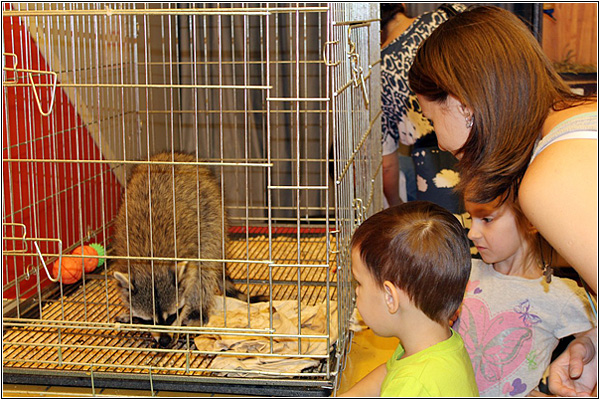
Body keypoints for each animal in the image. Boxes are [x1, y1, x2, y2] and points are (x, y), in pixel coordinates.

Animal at [111, 152, 243, 348]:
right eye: (149, 320)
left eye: (172, 316)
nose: (165, 341)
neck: (151, 261)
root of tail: (172, 155)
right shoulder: (123, 249)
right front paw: (131, 313)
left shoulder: (191, 252)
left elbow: (198, 275)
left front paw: (193, 308)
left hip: (213, 216)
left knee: (207, 264)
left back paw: (198, 310)